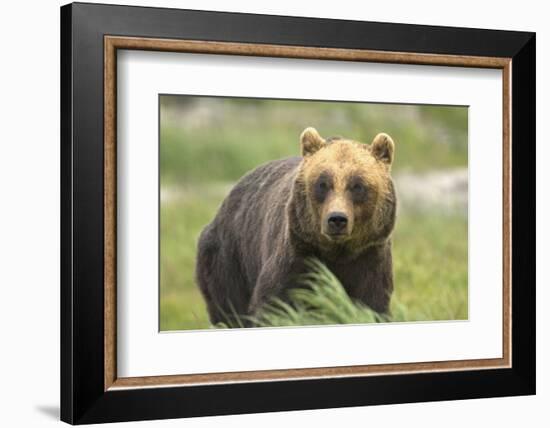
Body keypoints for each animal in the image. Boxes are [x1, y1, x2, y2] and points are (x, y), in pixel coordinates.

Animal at [196, 127, 398, 324]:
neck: (338, 252)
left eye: (358, 186)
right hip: (229, 257)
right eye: (322, 184)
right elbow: (274, 303)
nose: (337, 219)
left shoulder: (369, 257)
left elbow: (371, 304)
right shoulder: (298, 252)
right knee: (230, 308)